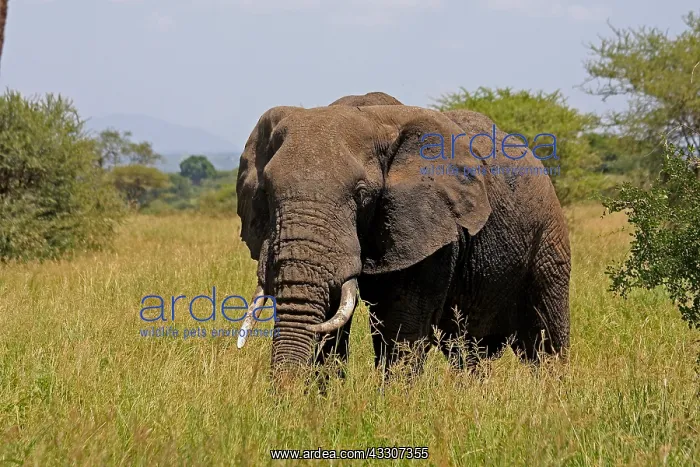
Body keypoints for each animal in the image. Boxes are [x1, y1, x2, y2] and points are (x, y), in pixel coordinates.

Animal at [235, 96, 571, 380]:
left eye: (361, 194)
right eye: (265, 193)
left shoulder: (429, 228)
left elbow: (400, 324)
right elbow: (330, 320)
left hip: (548, 237)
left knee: (546, 338)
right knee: (467, 351)